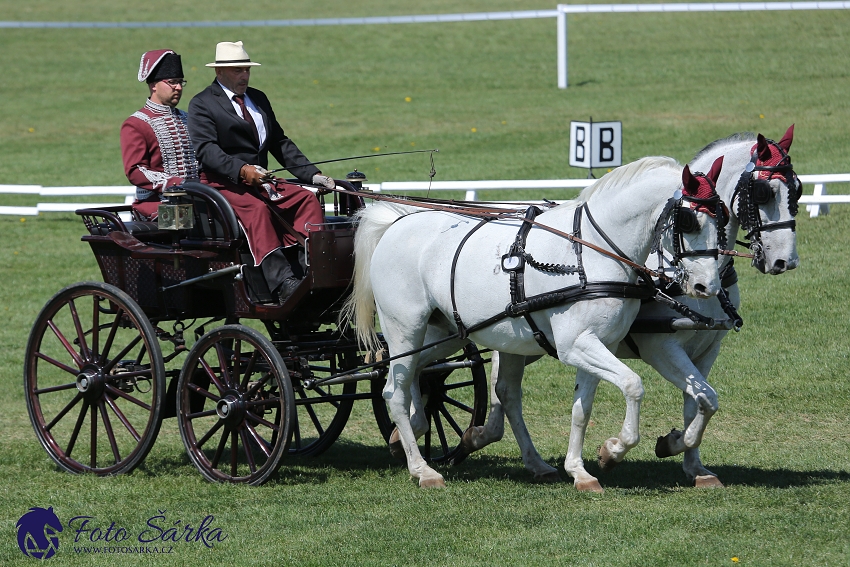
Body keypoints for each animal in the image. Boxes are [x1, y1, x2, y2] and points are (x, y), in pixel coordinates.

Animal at [344, 158, 724, 490]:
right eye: (688, 222)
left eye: (723, 220)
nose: (706, 287)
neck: (590, 251)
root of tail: (396, 223)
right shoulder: (576, 345)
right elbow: (633, 385)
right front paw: (614, 449)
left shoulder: (597, 343)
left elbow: (582, 409)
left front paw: (581, 471)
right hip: (405, 328)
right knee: (394, 389)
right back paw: (422, 469)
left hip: (446, 333)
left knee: (418, 374)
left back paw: (413, 430)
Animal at [454, 126, 800, 490]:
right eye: (763, 192)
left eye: (797, 190)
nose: (784, 261)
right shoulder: (661, 347)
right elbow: (694, 399)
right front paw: (628, 449)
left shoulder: (707, 349)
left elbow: (701, 402)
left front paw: (691, 461)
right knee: (505, 391)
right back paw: (486, 440)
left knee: (505, 391)